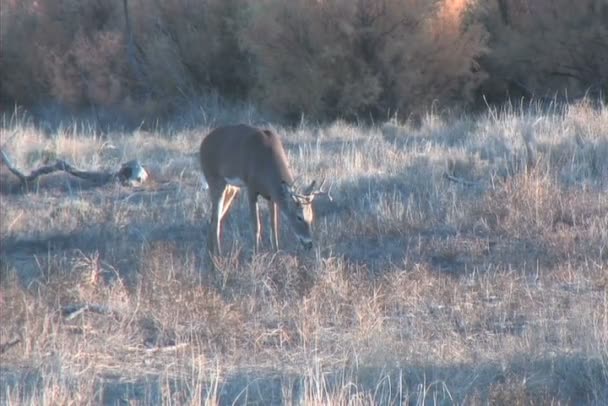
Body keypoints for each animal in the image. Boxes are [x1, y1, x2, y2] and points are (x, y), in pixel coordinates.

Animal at [198, 124, 332, 256]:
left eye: (311, 216)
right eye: (299, 217)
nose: (309, 244)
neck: (266, 165)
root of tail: (203, 143)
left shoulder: (271, 195)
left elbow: (274, 225)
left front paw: (276, 252)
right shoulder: (251, 187)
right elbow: (256, 225)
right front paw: (256, 254)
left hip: (231, 187)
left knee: (215, 217)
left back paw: (210, 252)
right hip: (214, 178)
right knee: (216, 219)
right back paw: (218, 255)